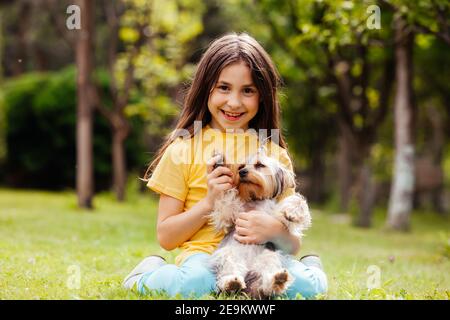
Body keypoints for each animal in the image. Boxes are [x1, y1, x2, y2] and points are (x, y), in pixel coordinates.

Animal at [209, 149, 312, 298]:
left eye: (259, 165)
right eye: (241, 167)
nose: (242, 172)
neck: (256, 199)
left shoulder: (276, 219)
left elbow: (297, 203)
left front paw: (292, 213)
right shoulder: (228, 214)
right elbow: (226, 194)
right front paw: (219, 163)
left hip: (270, 256)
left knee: (266, 282)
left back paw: (277, 281)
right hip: (228, 254)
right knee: (230, 272)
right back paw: (232, 283)